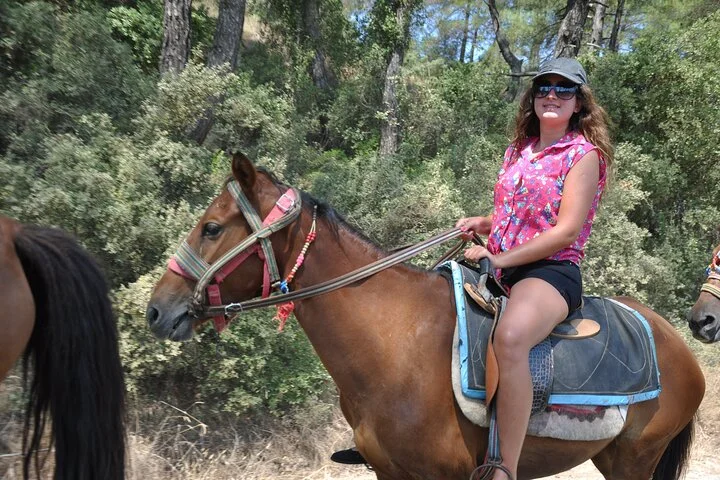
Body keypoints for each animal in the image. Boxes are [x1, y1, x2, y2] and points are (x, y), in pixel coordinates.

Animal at [146, 153, 705, 480]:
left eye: (212, 228)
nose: (157, 309)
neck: (393, 342)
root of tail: (676, 342)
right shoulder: (389, 472)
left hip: (635, 459)